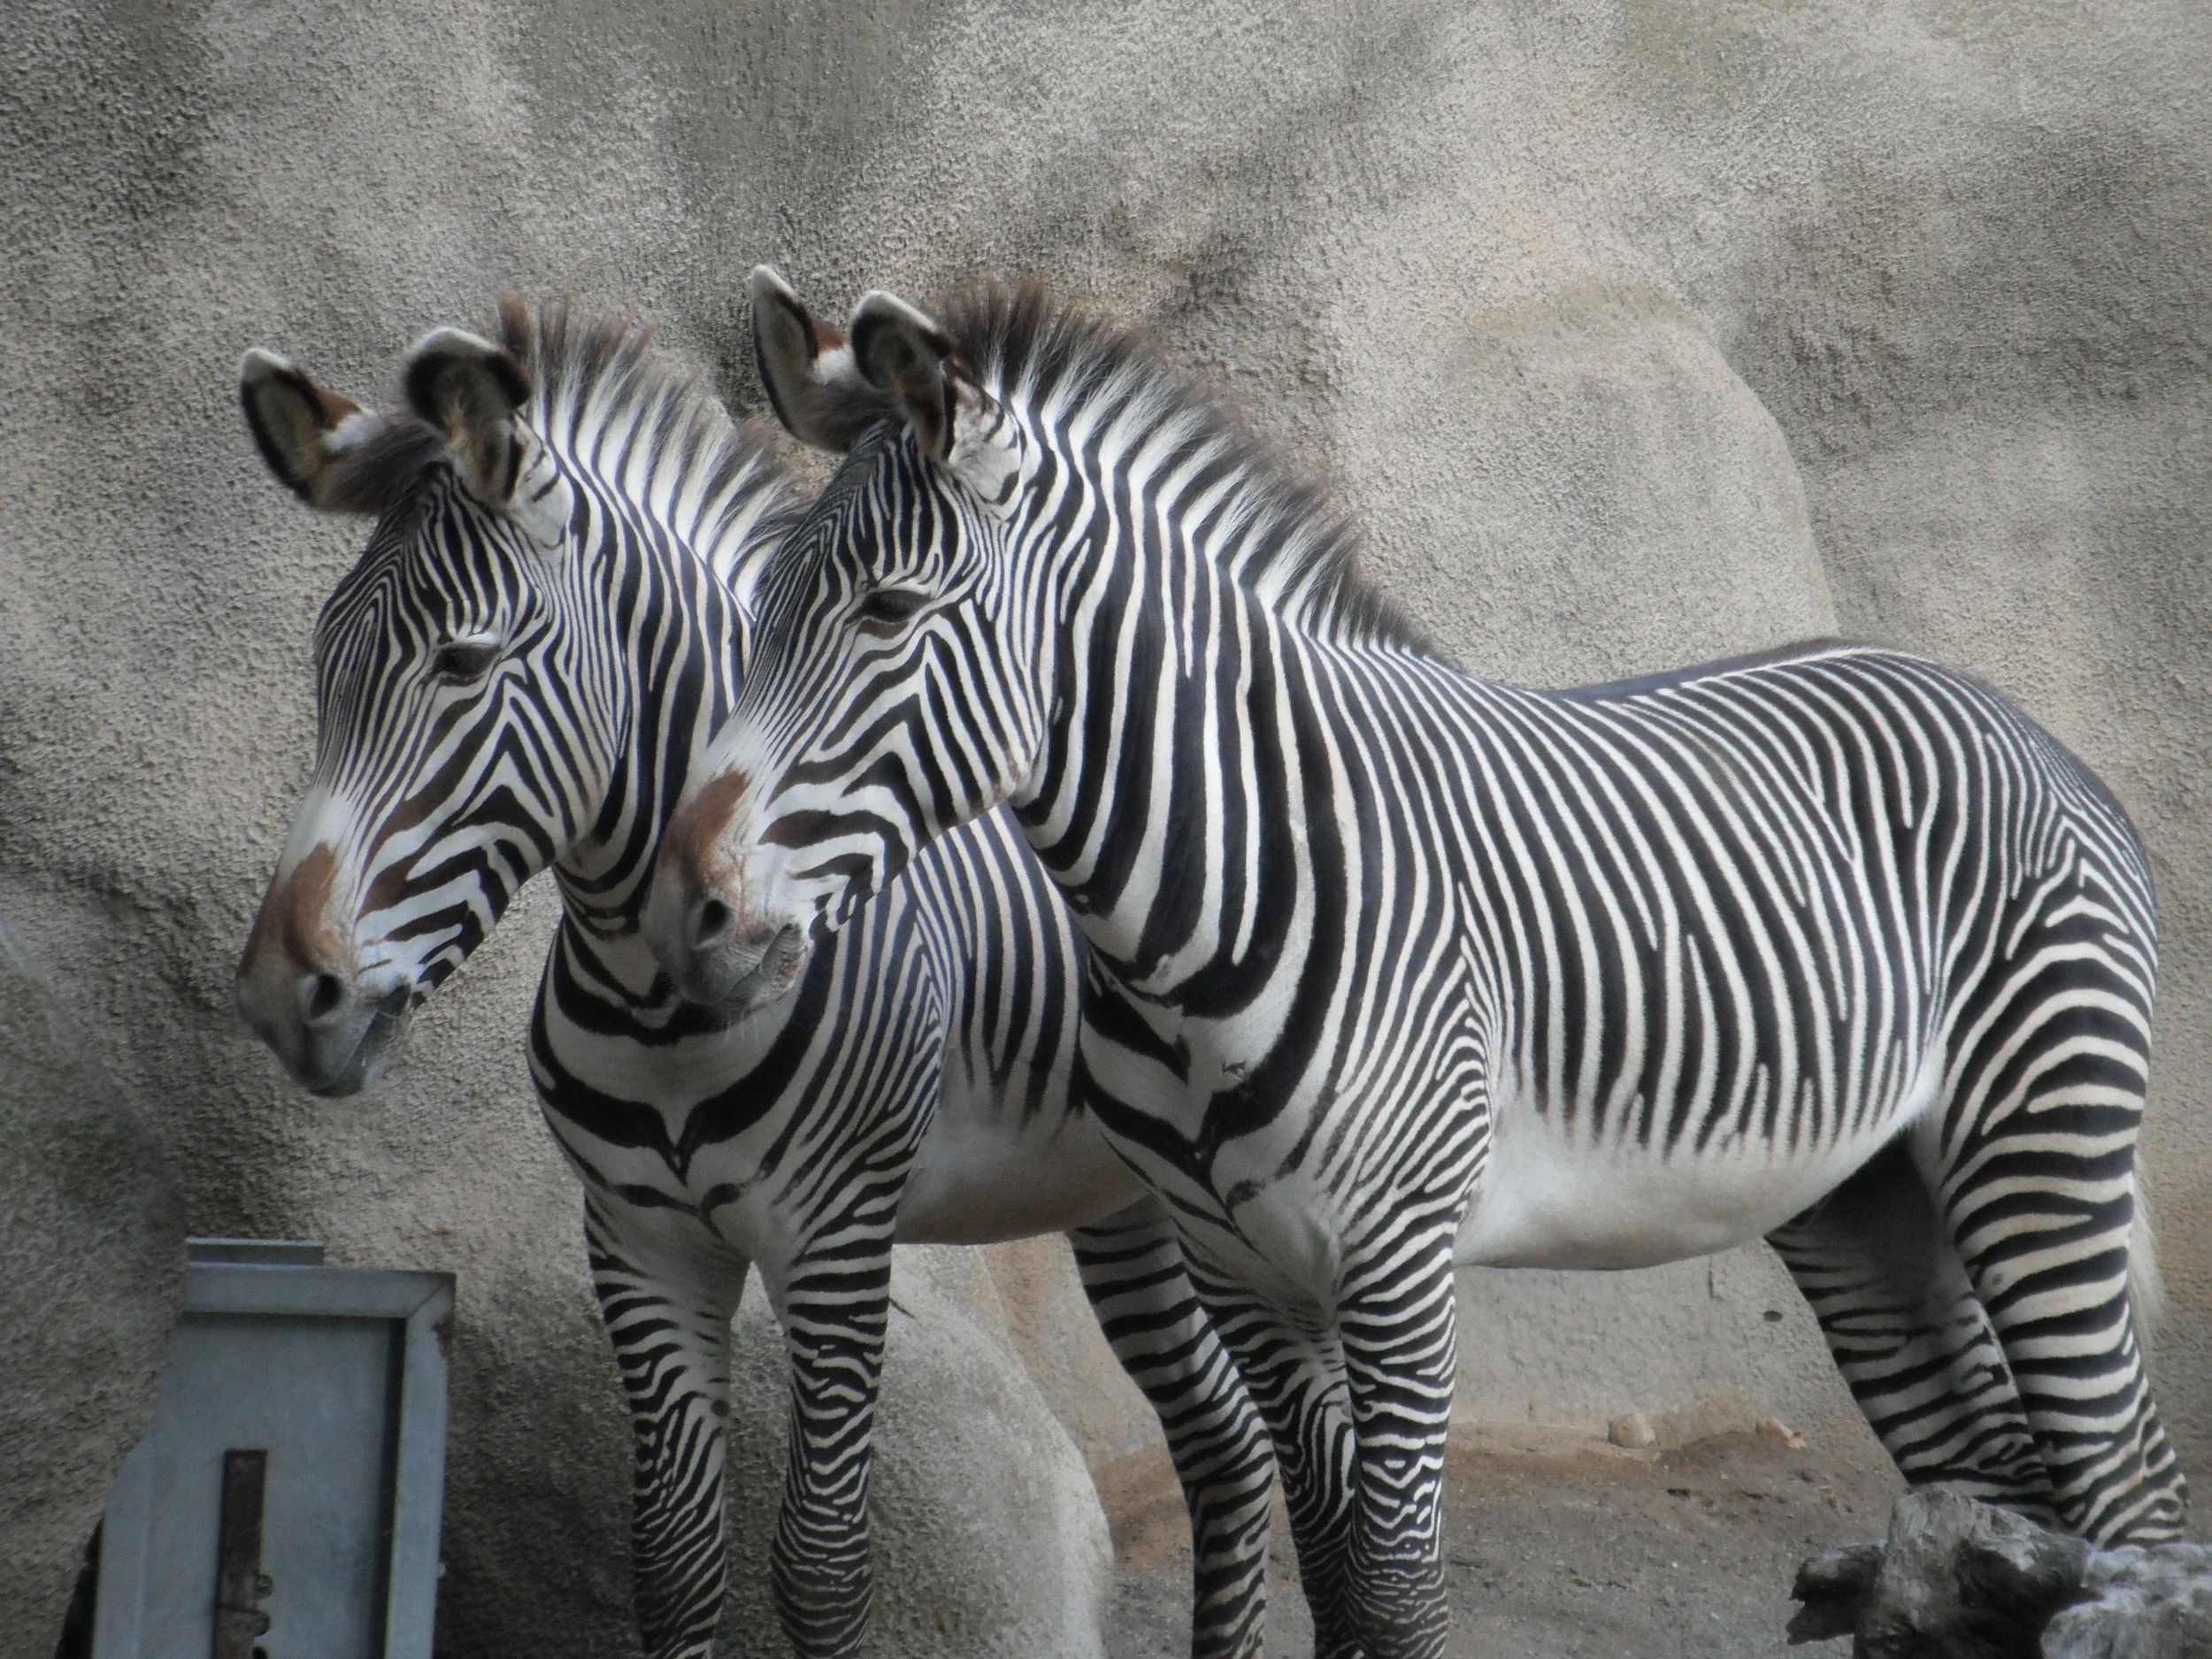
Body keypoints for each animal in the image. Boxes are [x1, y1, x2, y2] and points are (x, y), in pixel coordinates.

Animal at [229, 301, 1281, 1659]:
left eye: (461, 663)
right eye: (323, 662)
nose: (278, 994)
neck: (657, 1000)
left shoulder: (834, 1239)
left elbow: (820, 1564)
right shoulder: (639, 1243)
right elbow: (675, 1559)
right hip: (1121, 1195)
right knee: (1229, 1445)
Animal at [643, 269, 2190, 1659]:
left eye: (887, 611)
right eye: (764, 603)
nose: (689, 913)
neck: (1191, 911)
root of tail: (2013, 716)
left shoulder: (1400, 1265)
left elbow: (1394, 1595)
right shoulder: (1244, 1270)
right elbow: (1333, 1580)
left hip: (2035, 1153)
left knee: (2131, 1490)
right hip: (1865, 1198)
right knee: (1990, 1493)